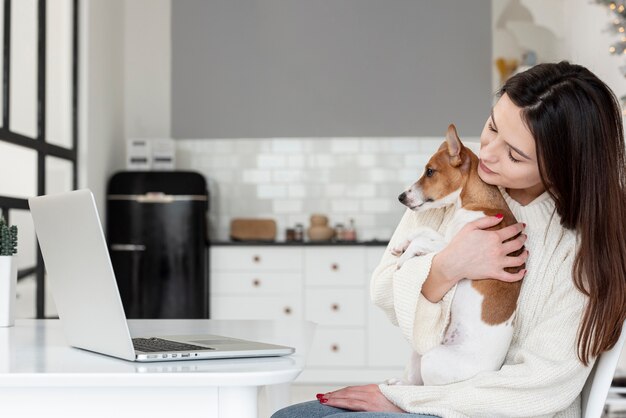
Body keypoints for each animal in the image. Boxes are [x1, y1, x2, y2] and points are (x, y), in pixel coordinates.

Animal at [390, 123, 520, 386]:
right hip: (421, 352)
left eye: (430, 171)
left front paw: (404, 258)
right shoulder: (449, 239)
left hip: (432, 360)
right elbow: (423, 231)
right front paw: (400, 244)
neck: (479, 202)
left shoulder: (457, 246)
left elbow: (421, 241)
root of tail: (489, 371)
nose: (400, 197)